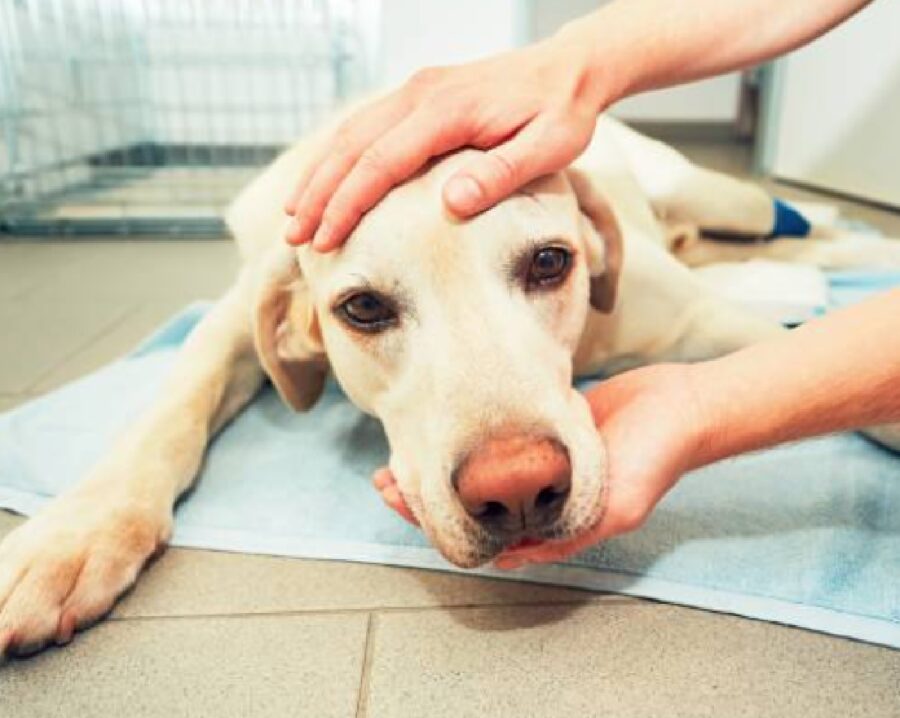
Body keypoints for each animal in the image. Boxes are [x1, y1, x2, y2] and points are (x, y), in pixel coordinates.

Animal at [1, 114, 900, 660]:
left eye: (550, 261)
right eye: (363, 308)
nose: (520, 489)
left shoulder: (706, 319)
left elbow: (804, 354)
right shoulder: (238, 310)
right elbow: (175, 397)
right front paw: (71, 537)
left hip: (721, 194)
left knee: (793, 224)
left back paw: (849, 238)